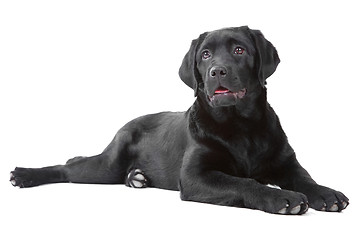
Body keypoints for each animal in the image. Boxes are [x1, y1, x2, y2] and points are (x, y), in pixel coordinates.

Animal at [9, 26, 348, 214]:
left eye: (239, 50)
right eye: (205, 55)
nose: (217, 71)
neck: (241, 126)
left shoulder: (285, 162)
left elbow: (306, 179)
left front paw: (327, 194)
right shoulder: (196, 176)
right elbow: (244, 182)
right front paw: (282, 197)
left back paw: (137, 178)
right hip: (106, 166)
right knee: (69, 168)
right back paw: (24, 174)